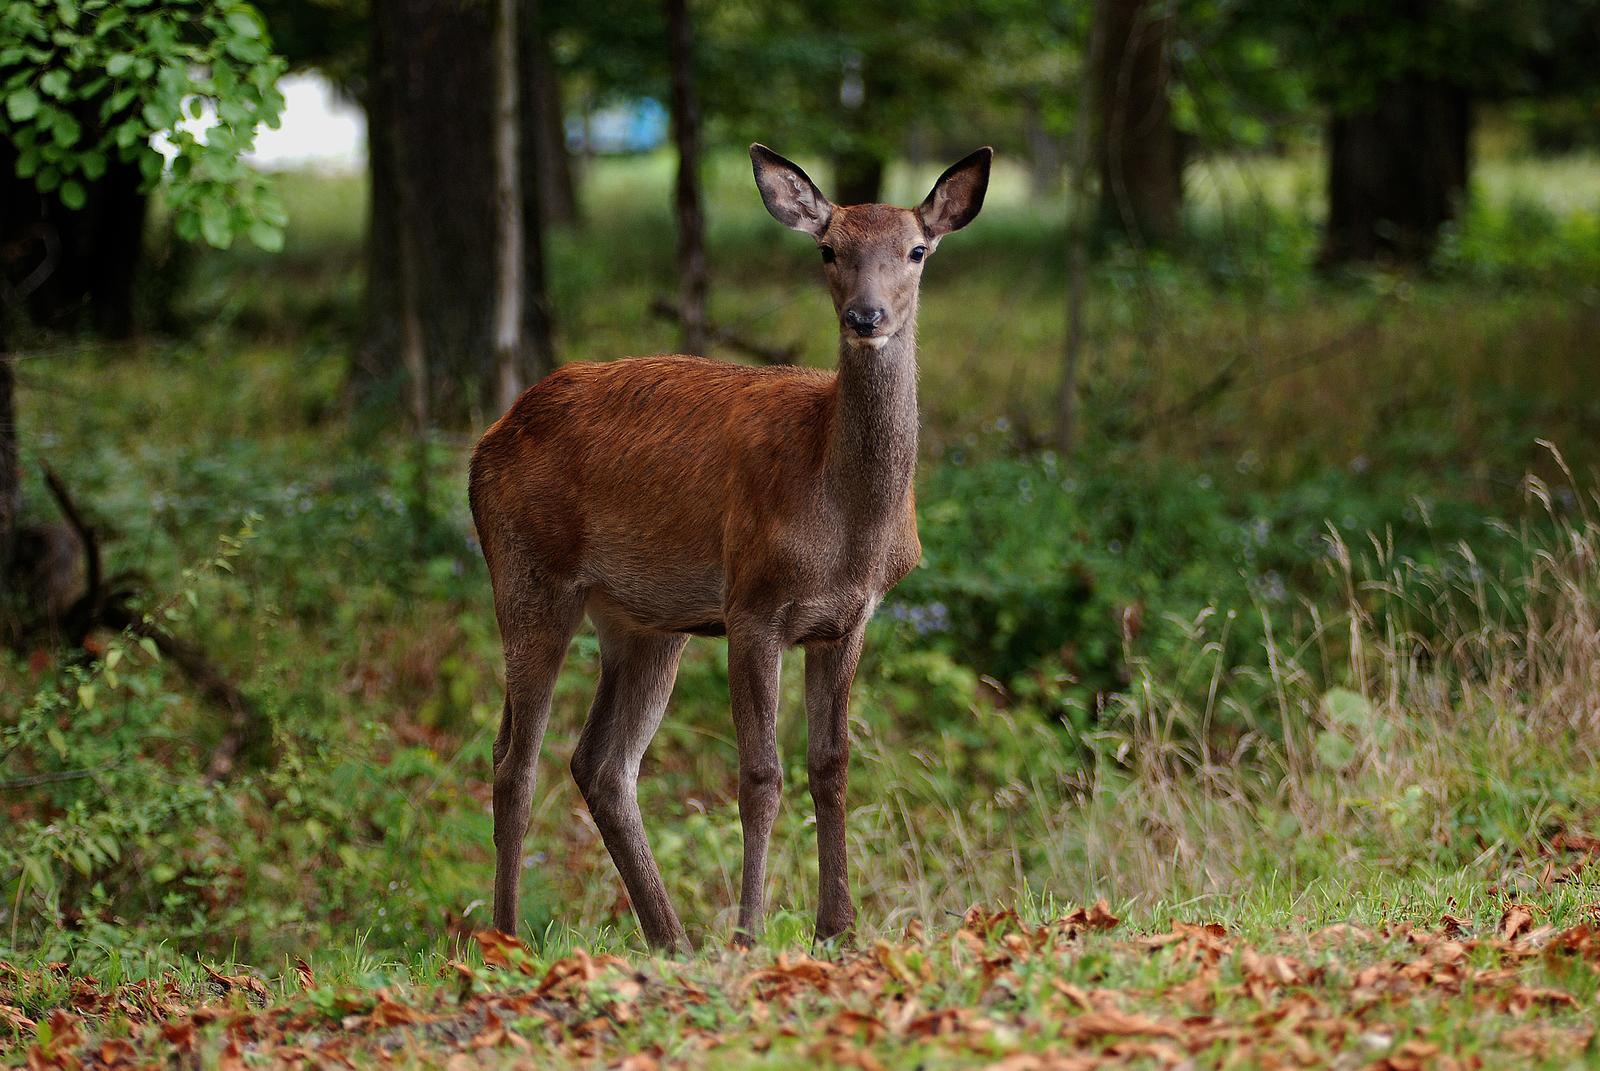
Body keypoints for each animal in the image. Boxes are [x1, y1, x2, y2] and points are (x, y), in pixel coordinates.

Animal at [467, 141, 985, 954]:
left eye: (916, 250)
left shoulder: (849, 619)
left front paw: (836, 928)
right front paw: (750, 931)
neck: (848, 524)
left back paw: (670, 938)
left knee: (601, 763)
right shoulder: (752, 604)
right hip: (528, 574)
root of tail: (484, 445)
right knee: (515, 759)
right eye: (829, 248)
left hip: (644, 621)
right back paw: (508, 939)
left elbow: (831, 763)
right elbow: (760, 774)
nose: (865, 316)